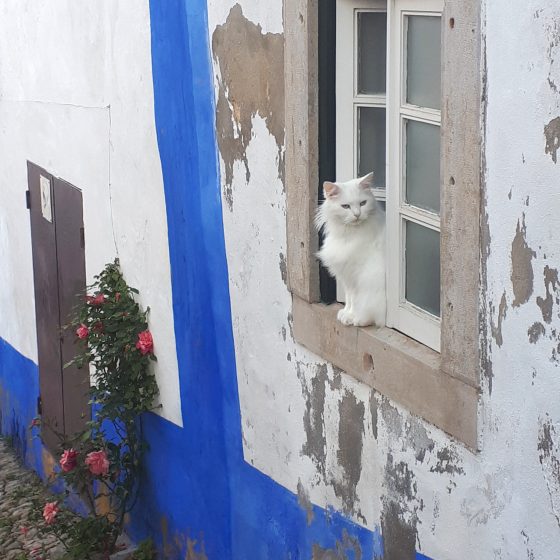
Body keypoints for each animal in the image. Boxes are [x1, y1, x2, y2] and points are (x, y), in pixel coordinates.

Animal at [316, 173, 384, 326]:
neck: (348, 235)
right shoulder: (345, 275)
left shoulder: (355, 275)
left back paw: (360, 320)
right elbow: (348, 298)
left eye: (363, 203)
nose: (357, 214)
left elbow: (354, 299)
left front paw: (351, 316)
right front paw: (346, 312)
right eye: (345, 206)